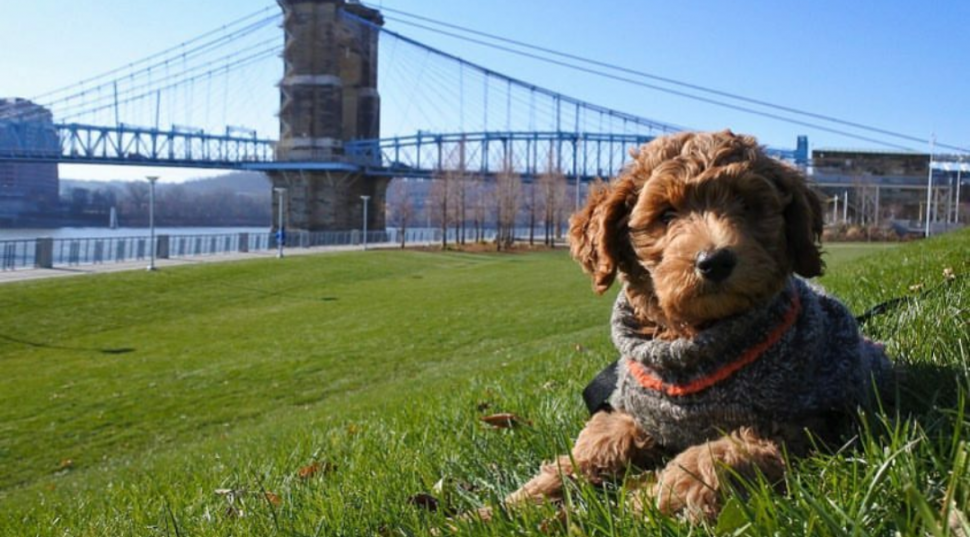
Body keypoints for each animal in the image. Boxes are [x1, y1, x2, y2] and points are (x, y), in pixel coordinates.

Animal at [502, 129, 888, 520]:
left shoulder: (795, 425)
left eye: (747, 205)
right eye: (667, 214)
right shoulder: (632, 413)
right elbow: (597, 442)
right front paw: (519, 504)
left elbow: (712, 458)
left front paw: (640, 500)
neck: (694, 340)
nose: (715, 261)